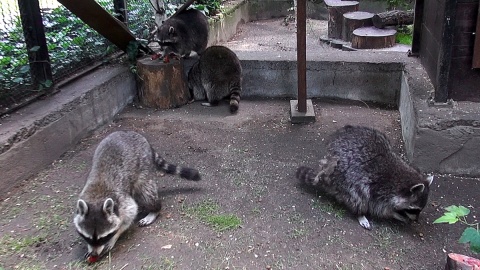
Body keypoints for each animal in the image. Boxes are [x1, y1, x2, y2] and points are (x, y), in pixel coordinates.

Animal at [73, 131, 201, 262]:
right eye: (87, 237)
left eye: (103, 238)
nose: (94, 253)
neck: (97, 199)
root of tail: (132, 133)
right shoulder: (84, 195)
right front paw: (89, 247)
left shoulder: (122, 201)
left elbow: (130, 213)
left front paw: (116, 235)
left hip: (143, 165)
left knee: (146, 192)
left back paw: (154, 210)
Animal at [296, 125, 436, 230]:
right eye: (414, 209)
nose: (416, 220)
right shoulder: (380, 188)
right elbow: (379, 206)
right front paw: (395, 213)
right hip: (345, 176)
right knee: (357, 195)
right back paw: (360, 213)